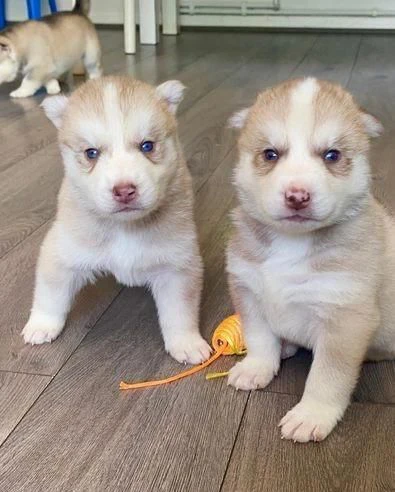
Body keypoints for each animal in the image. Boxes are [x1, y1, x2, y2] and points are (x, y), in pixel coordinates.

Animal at [21, 76, 212, 366]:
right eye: (91, 153)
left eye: (147, 146)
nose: (124, 190)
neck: (125, 228)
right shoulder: (60, 253)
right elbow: (50, 295)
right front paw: (42, 324)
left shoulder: (177, 267)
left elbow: (180, 313)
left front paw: (186, 342)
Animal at [226, 77, 395, 442]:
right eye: (270, 154)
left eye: (332, 155)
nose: (297, 196)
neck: (292, 244)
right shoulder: (248, 290)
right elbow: (260, 338)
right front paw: (257, 367)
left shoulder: (345, 319)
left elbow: (326, 377)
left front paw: (312, 414)